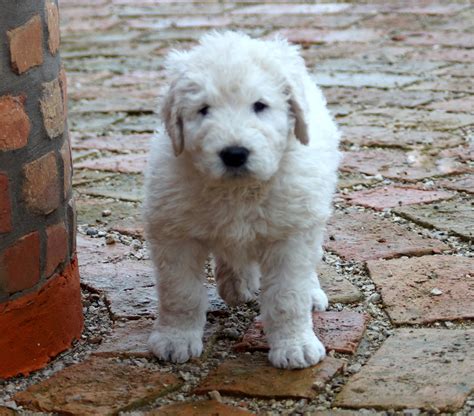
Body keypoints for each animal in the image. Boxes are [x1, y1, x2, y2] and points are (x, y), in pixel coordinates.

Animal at [144, 32, 340, 370]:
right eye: (204, 109)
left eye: (260, 105)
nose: (234, 154)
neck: (237, 191)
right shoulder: (174, 233)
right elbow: (179, 292)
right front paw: (175, 339)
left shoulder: (291, 233)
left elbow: (288, 296)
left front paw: (295, 346)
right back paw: (237, 284)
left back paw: (310, 294)